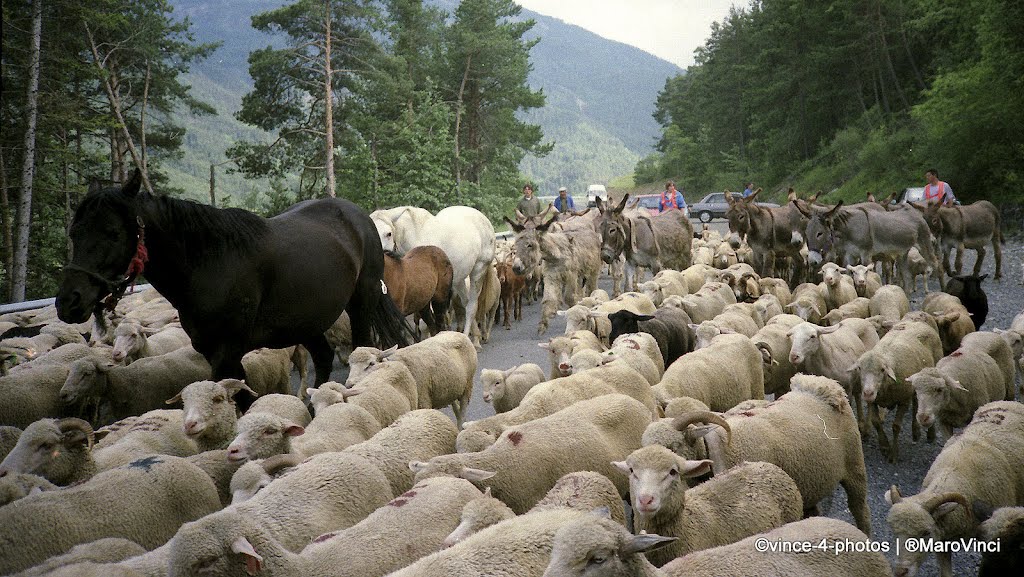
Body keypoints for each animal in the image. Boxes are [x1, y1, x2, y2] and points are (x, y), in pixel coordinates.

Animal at [55, 171, 411, 405]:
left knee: (362, 346)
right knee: (323, 358)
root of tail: (358, 216)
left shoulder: (227, 351)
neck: (209, 264)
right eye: (74, 232)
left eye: (112, 232)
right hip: (307, 321)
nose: (68, 302)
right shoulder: (213, 351)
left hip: (360, 304)